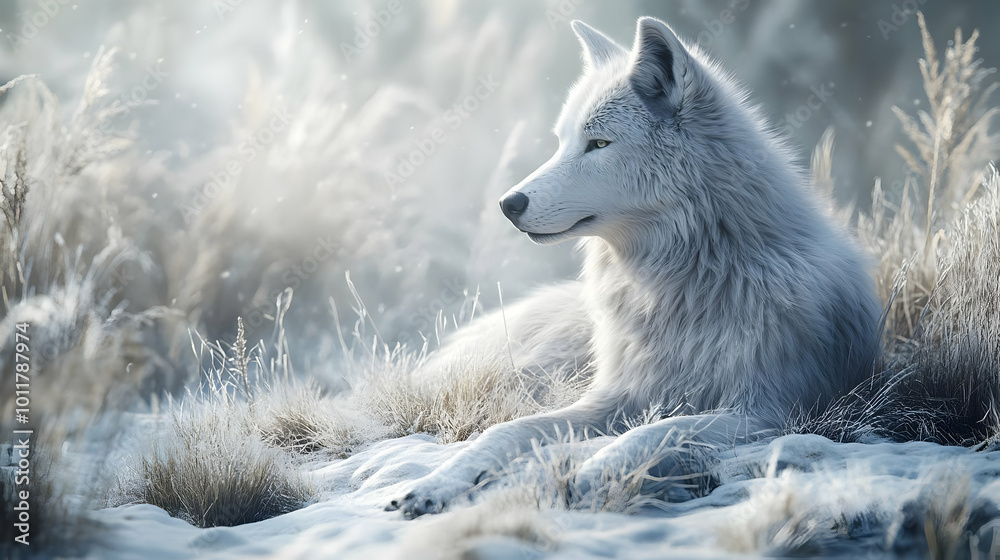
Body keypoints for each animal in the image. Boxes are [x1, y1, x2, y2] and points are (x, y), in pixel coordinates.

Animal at [387, 16, 882, 518]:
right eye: (563, 142)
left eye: (599, 143)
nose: (508, 204)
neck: (682, 285)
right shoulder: (614, 395)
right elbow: (507, 430)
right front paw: (433, 484)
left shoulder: (770, 411)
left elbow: (658, 428)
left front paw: (589, 472)